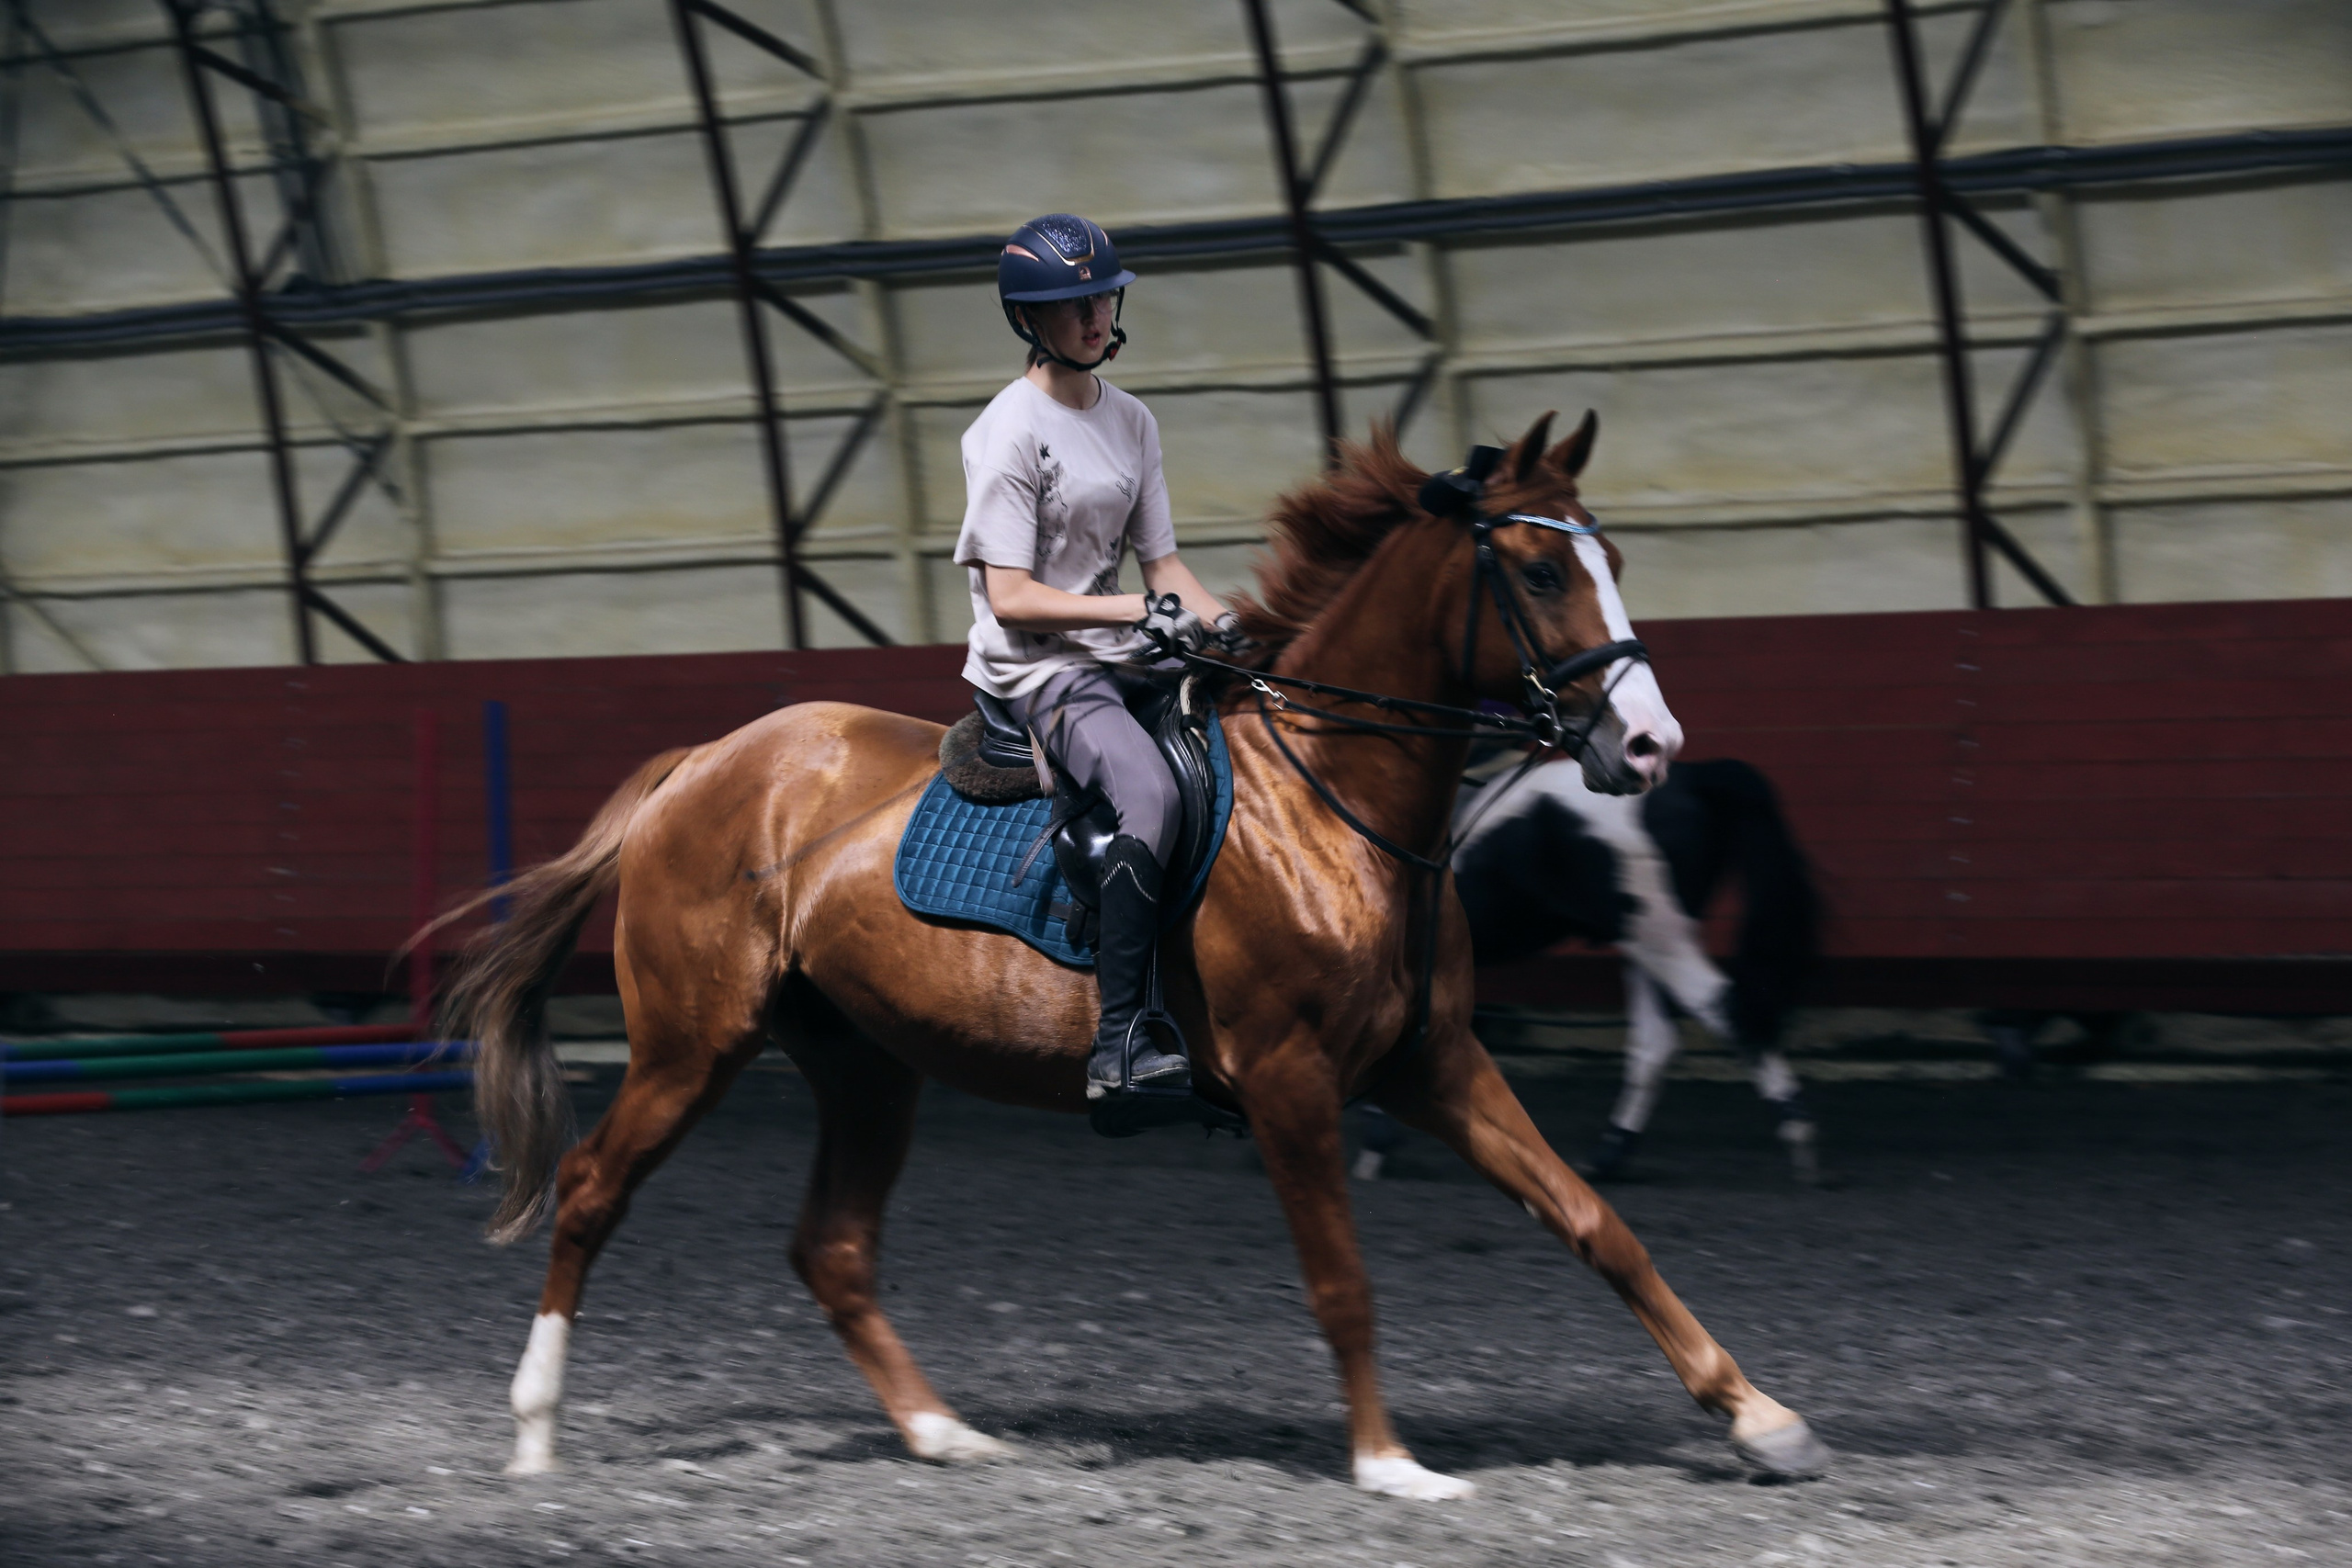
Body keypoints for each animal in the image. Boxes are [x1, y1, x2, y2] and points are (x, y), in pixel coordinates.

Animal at [1441, 753, 1825, 1183]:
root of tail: (1692, 777)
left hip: (1656, 934)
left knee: (1728, 1009)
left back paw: (1801, 1141)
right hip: (1649, 940)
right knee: (1657, 1040)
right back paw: (1608, 1155)